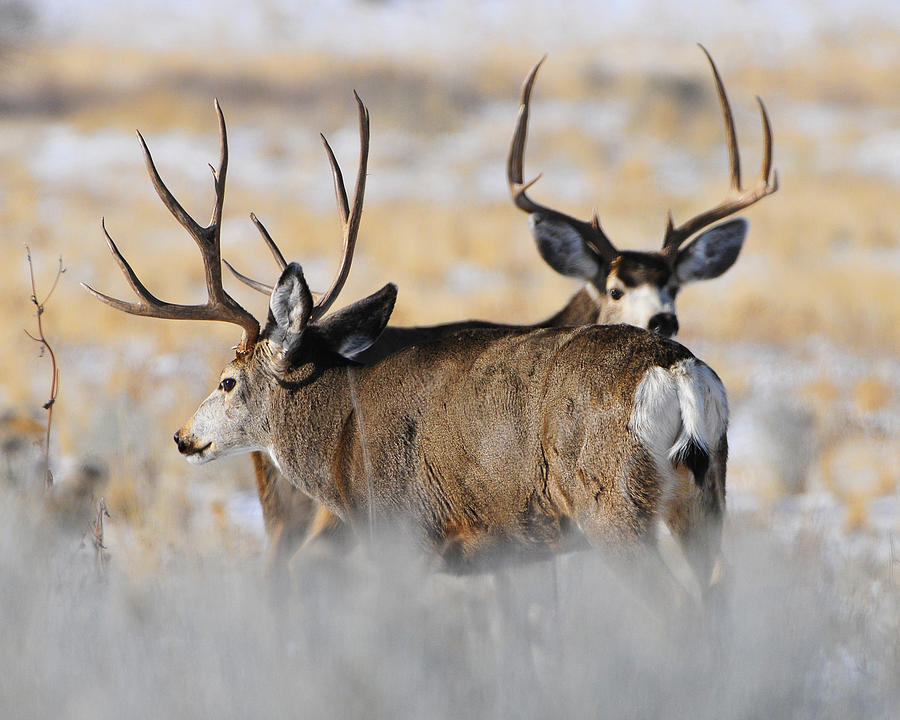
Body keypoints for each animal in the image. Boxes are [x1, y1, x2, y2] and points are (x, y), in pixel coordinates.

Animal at [84, 93, 732, 604]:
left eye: (227, 379)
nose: (183, 437)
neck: (340, 432)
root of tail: (677, 369)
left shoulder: (405, 534)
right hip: (706, 499)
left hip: (611, 504)